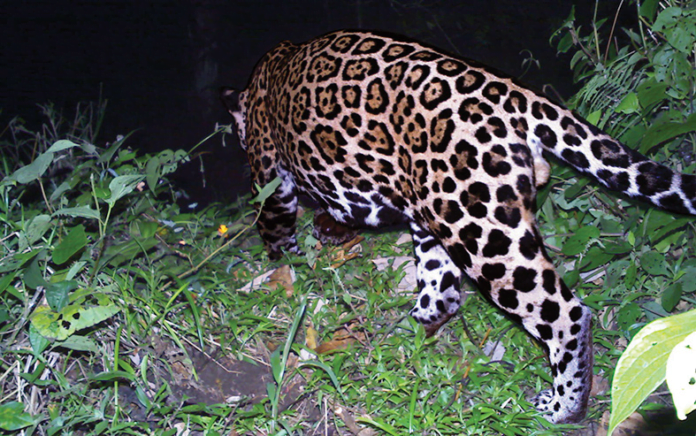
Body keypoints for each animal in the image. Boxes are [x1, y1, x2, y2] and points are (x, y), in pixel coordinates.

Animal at [221, 30, 696, 424]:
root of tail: (516, 95)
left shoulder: (269, 173)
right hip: (443, 211)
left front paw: (285, 264)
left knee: (566, 313)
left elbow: (274, 224)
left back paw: (563, 407)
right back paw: (413, 325)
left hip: (482, 229)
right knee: (444, 290)